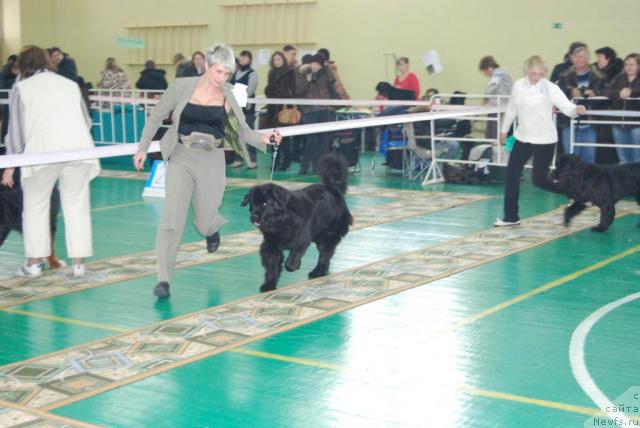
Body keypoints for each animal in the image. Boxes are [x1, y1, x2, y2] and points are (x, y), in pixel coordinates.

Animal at [241, 155, 352, 292]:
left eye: (265, 204)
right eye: (252, 204)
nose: (254, 217)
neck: (280, 223)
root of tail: (333, 188)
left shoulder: (302, 239)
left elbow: (292, 258)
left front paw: (294, 266)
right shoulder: (271, 245)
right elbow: (272, 266)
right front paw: (269, 285)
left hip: (328, 234)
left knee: (325, 253)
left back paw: (317, 272)